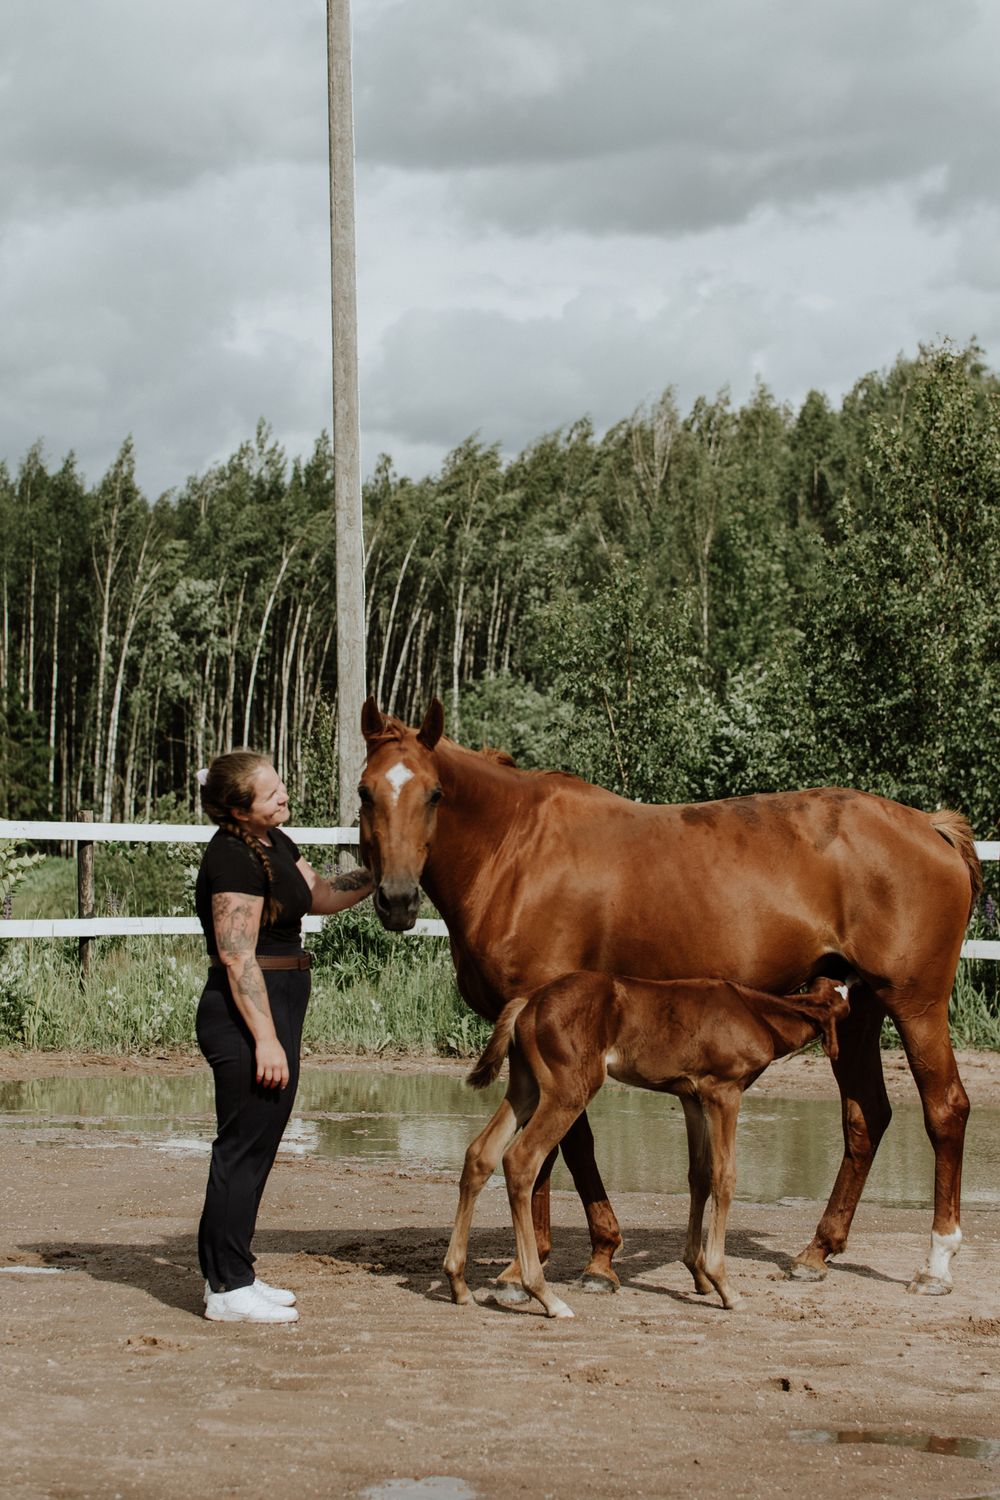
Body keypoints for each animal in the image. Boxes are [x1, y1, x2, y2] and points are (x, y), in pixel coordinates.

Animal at [444, 972, 852, 1317]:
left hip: (525, 1088)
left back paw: (458, 1282)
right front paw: (724, 1284)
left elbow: (699, 1176)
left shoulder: (691, 1098)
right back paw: (544, 1295)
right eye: (848, 1008)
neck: (755, 1012)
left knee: (481, 1154)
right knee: (521, 1159)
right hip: (568, 1091)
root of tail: (529, 1002)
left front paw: (698, 1274)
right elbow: (724, 1177)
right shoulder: (723, 1093)